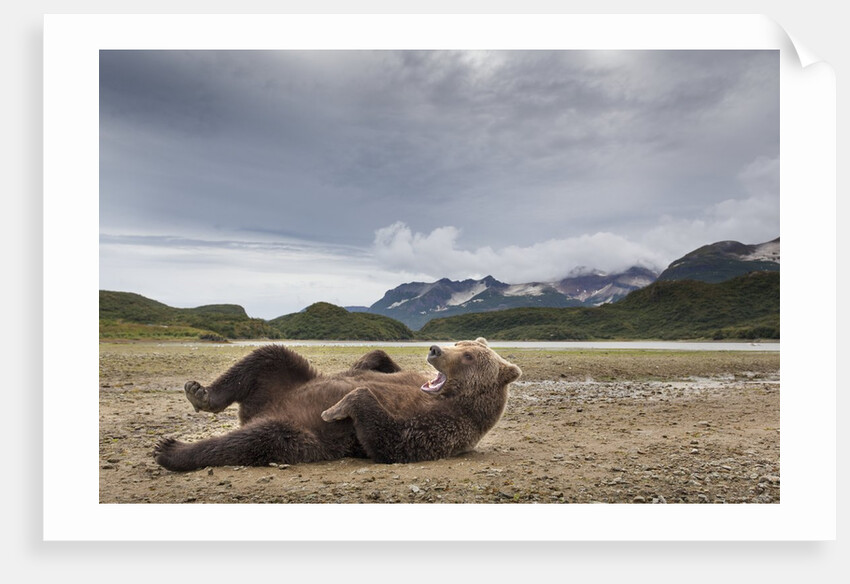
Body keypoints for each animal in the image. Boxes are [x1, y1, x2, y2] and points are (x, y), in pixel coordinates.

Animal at [153, 338, 521, 472]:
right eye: (460, 343)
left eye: (469, 355)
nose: (435, 349)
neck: (447, 396)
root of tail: (258, 411)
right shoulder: (410, 379)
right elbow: (377, 360)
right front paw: (374, 363)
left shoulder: (448, 425)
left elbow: (395, 441)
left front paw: (340, 406)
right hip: (282, 382)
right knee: (269, 355)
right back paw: (200, 393)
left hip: (301, 434)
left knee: (256, 439)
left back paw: (171, 450)